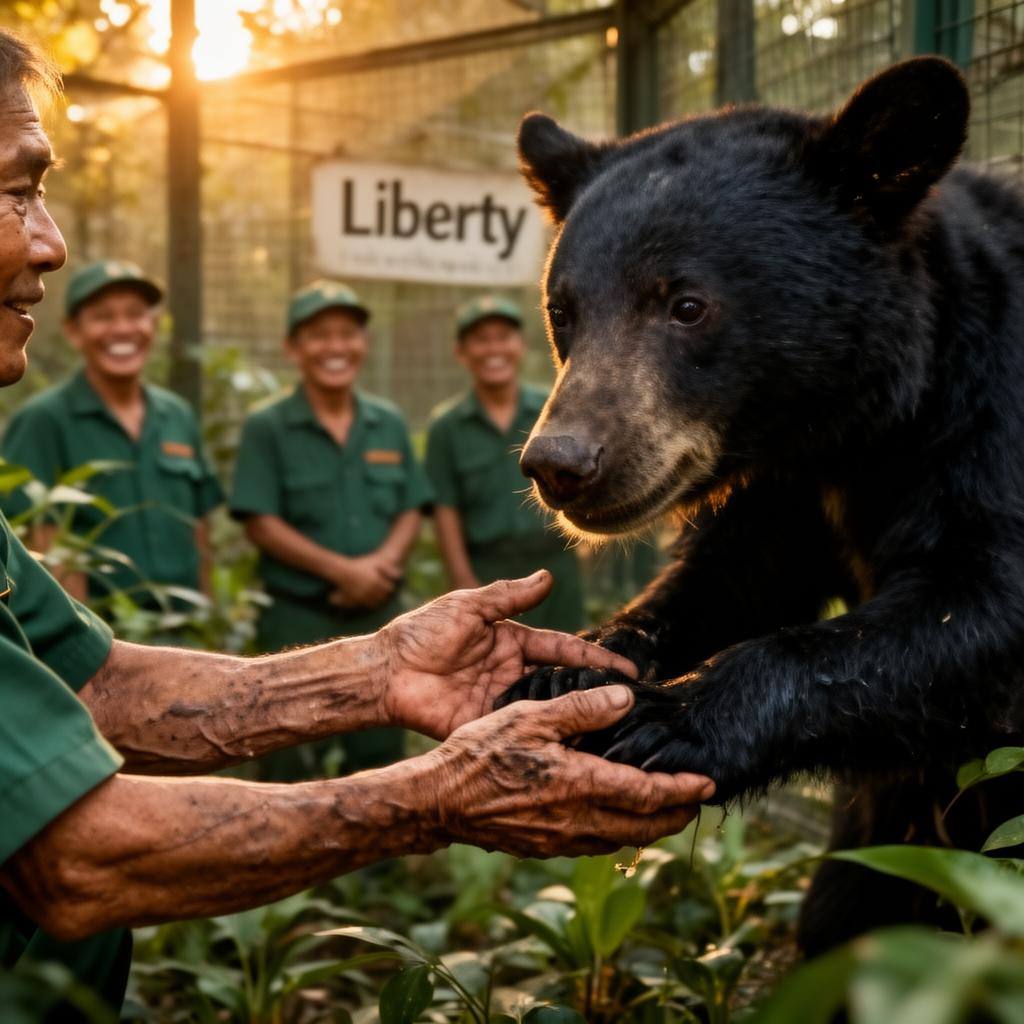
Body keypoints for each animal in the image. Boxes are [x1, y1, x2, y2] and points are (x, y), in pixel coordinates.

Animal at [496, 56, 1024, 954]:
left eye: (686, 304)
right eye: (563, 311)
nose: (560, 465)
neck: (857, 427)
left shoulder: (991, 418)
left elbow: (977, 604)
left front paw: (666, 719)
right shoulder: (783, 490)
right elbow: (735, 576)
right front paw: (570, 665)